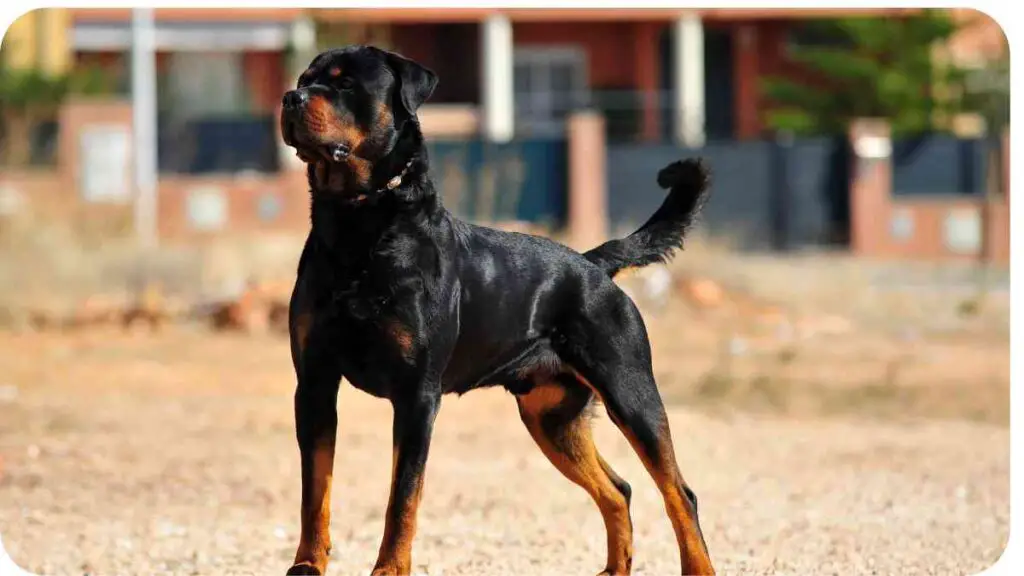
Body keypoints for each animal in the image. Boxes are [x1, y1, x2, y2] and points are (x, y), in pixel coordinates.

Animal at [276, 45, 716, 573]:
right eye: (305, 78)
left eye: (344, 84)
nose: (290, 97)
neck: (357, 223)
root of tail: (592, 265)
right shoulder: (315, 384)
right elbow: (314, 490)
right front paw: (306, 565)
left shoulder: (417, 396)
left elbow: (402, 498)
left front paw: (389, 569)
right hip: (551, 418)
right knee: (618, 489)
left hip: (631, 393)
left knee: (680, 494)